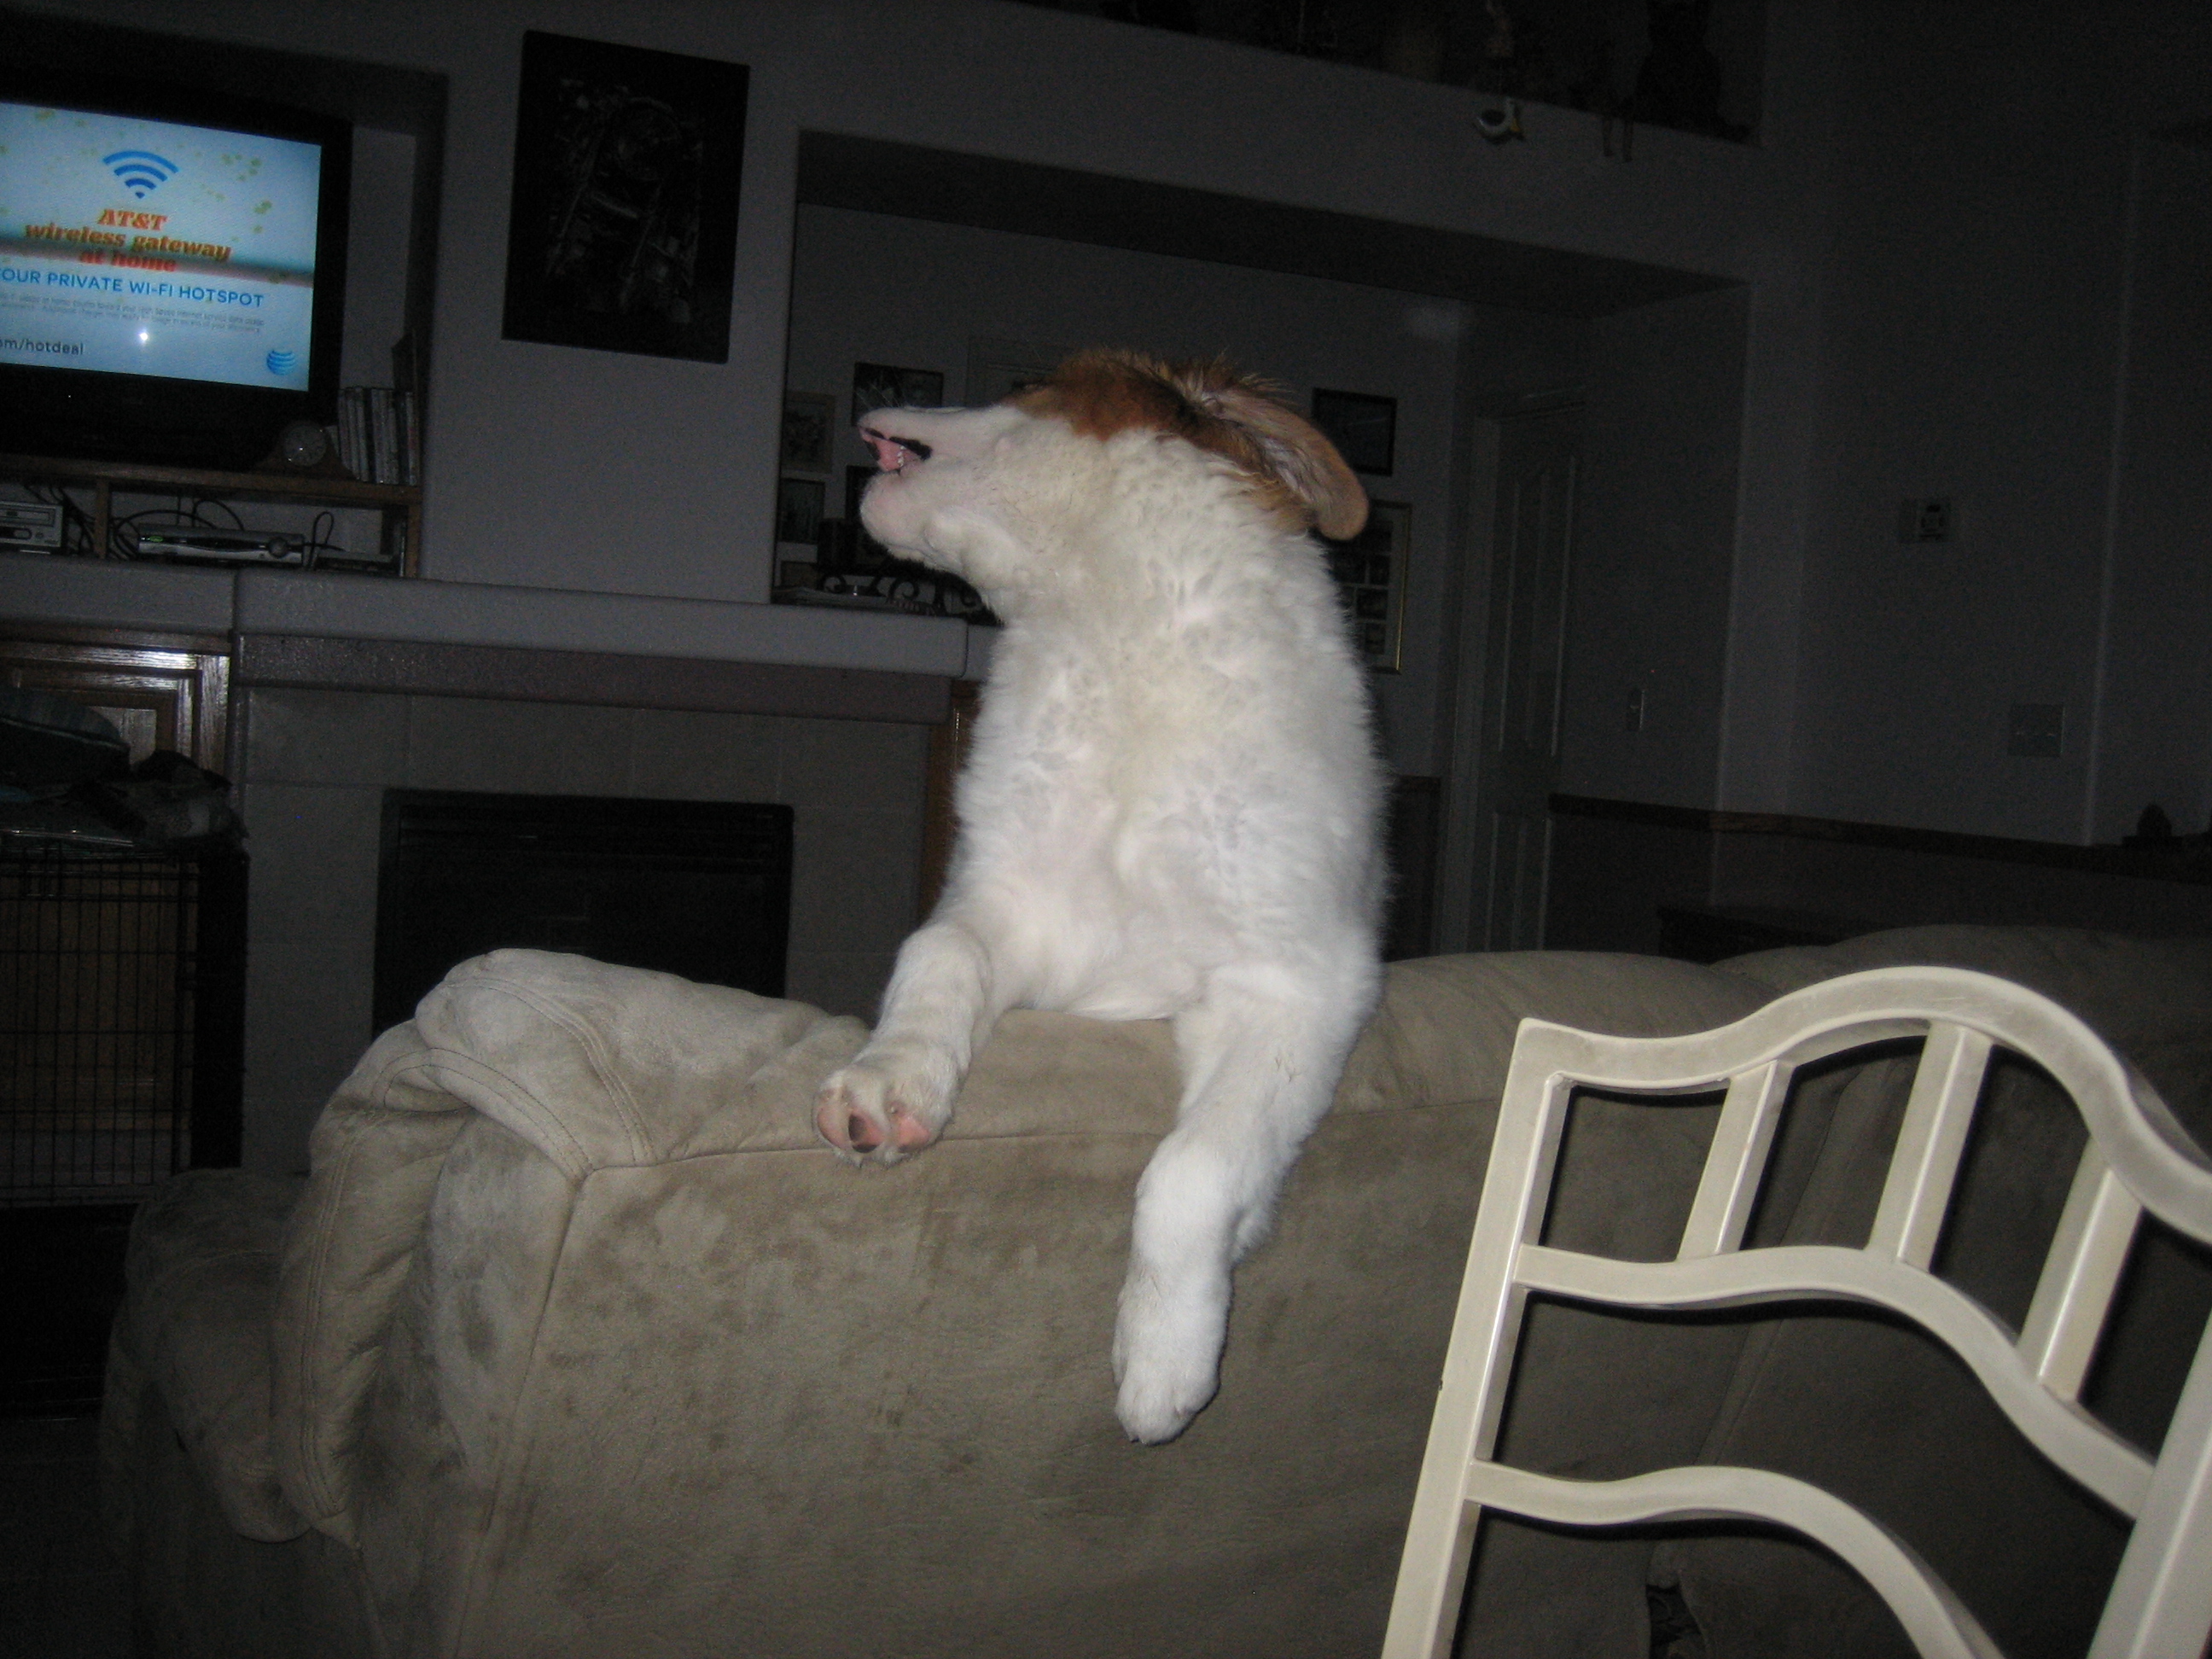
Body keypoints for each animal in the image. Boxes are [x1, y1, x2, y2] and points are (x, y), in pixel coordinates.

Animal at [813, 350, 1387, 1443]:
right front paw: (891, 1080)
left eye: (1028, 385)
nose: (871, 408)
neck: (1108, 632)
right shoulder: (1011, 906)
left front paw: (1162, 1362)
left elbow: (1193, 1168)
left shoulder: (1293, 982)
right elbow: (936, 955)